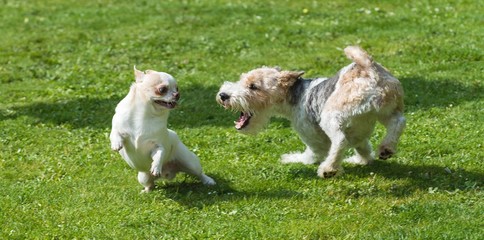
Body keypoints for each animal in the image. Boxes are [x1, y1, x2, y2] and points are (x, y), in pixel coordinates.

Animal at [216, 46, 404, 178]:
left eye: (253, 86)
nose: (223, 95)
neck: (296, 95)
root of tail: (369, 69)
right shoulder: (359, 135)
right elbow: (363, 148)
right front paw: (362, 161)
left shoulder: (314, 141)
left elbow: (309, 156)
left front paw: (290, 159)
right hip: (387, 110)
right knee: (398, 122)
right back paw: (386, 149)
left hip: (329, 118)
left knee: (340, 141)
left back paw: (328, 169)